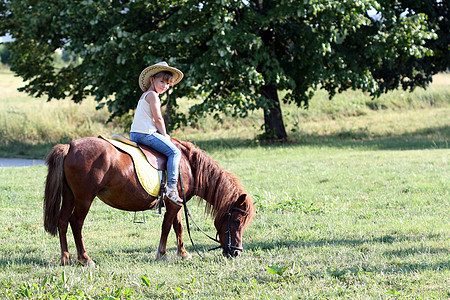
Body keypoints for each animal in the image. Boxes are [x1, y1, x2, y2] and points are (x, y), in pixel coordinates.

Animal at [44, 137, 255, 266]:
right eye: (237, 221)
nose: (236, 252)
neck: (188, 165)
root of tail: (70, 146)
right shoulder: (174, 204)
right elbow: (167, 227)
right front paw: (162, 254)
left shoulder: (176, 203)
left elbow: (178, 227)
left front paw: (183, 253)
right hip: (84, 199)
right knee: (76, 223)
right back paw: (84, 258)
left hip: (70, 196)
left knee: (62, 221)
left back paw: (65, 257)